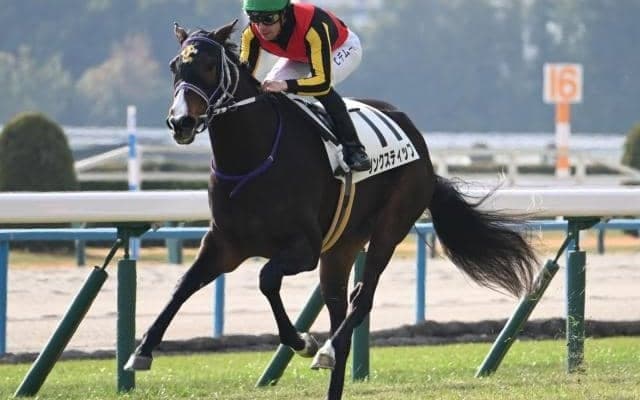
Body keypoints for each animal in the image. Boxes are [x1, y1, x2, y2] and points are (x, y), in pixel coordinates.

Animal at [124, 21, 539, 400]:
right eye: (175, 66)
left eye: (210, 66)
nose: (180, 122)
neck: (252, 156)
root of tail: (421, 149)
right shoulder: (224, 244)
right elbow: (184, 285)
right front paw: (141, 351)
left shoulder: (303, 248)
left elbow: (266, 279)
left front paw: (302, 340)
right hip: (341, 246)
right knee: (341, 305)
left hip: (390, 226)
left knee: (362, 298)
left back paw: (324, 348)